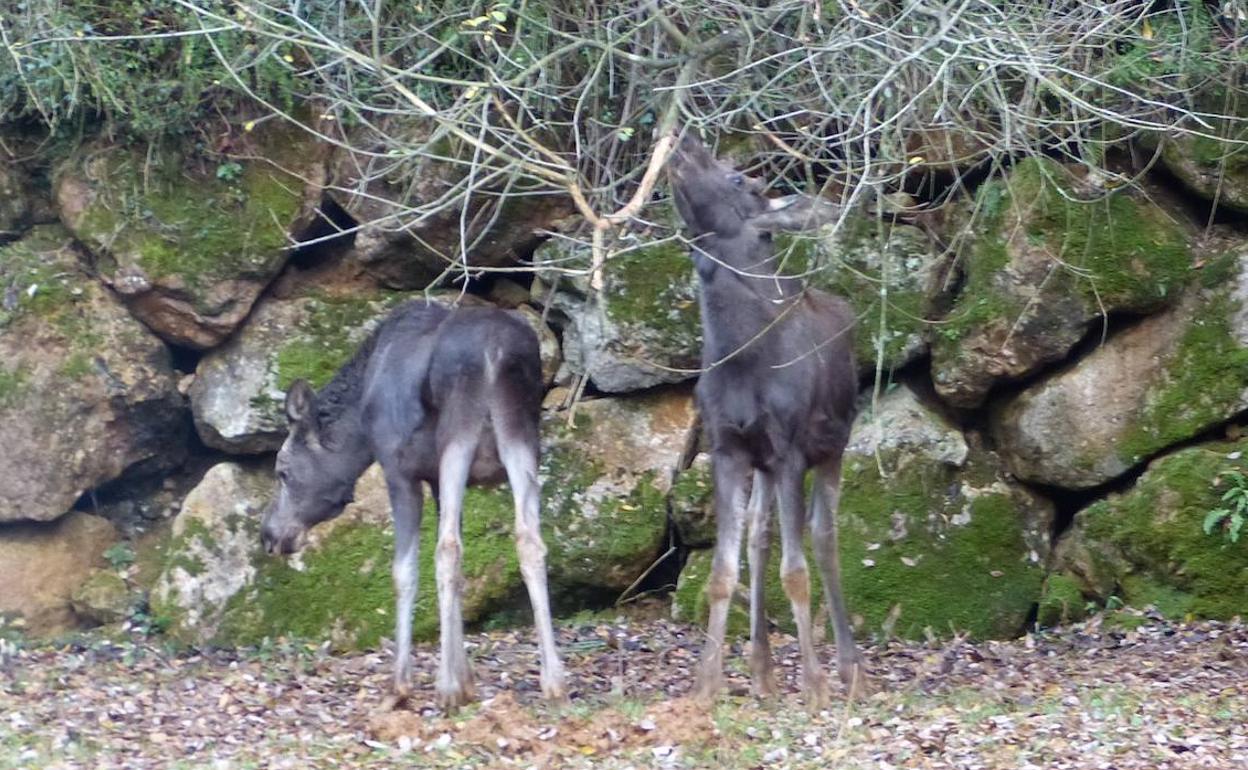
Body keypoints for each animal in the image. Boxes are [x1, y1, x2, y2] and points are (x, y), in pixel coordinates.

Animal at [260, 298, 569, 708]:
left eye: (282, 471)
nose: (269, 534)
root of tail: (497, 352)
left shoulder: (400, 470)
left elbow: (404, 570)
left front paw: (404, 683)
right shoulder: (436, 481)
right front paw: (466, 679)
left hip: (458, 436)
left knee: (448, 548)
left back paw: (446, 688)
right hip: (522, 438)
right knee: (529, 540)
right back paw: (554, 680)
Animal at [668, 133, 863, 708]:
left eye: (740, 179)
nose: (686, 140)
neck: (742, 357)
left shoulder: (791, 449)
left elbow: (795, 572)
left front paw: (816, 684)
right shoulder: (728, 448)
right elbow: (721, 571)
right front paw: (707, 684)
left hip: (832, 448)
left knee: (823, 538)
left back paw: (849, 669)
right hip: (765, 465)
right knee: (760, 536)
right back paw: (761, 671)